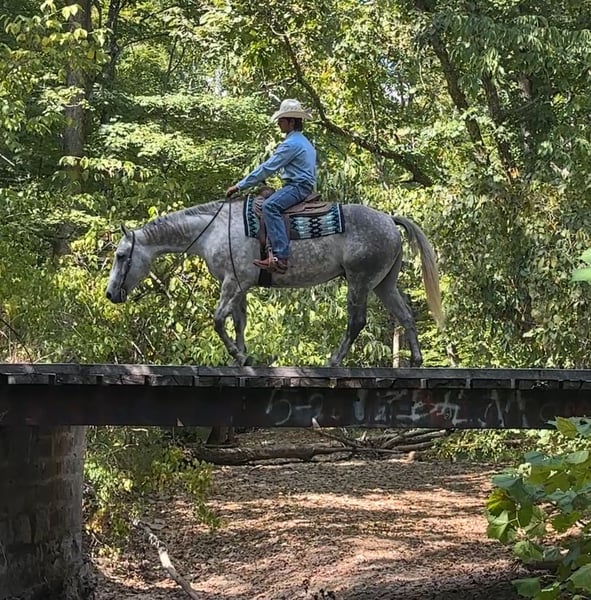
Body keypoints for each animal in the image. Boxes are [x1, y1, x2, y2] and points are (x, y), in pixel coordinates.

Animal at [105, 198, 444, 366]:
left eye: (121, 256)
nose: (110, 294)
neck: (215, 229)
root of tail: (388, 219)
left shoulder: (232, 283)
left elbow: (217, 321)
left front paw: (239, 355)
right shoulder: (240, 286)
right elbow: (238, 322)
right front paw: (242, 358)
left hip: (359, 281)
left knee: (356, 321)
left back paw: (334, 360)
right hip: (383, 284)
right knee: (405, 315)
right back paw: (416, 361)